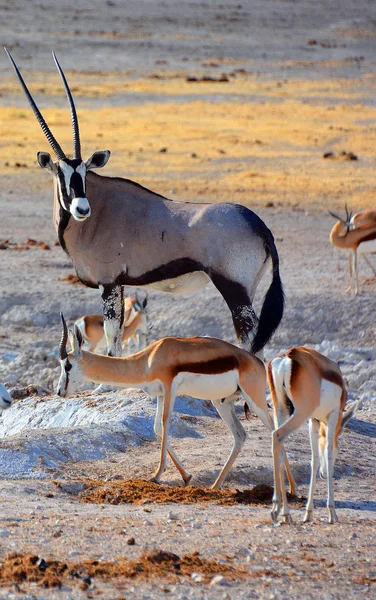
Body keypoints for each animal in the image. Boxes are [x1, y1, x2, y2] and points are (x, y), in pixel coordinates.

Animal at [5, 50, 284, 360]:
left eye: (84, 173)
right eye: (60, 173)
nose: (81, 209)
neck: (97, 211)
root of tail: (260, 227)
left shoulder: (109, 284)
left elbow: (112, 342)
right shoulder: (120, 286)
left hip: (234, 290)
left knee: (251, 340)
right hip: (249, 289)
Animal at [56, 314, 296, 492]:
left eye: (67, 365)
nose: (59, 392)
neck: (149, 359)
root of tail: (258, 362)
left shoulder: (169, 387)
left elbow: (165, 423)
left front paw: (156, 475)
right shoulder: (161, 394)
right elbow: (156, 427)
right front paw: (187, 476)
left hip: (254, 401)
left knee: (275, 430)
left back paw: (292, 490)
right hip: (221, 403)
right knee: (240, 435)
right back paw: (215, 486)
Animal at [268, 346, 356, 524]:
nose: (323, 475)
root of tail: (287, 356)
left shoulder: (313, 420)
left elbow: (314, 460)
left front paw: (308, 513)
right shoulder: (332, 416)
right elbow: (328, 454)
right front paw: (332, 512)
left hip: (281, 408)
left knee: (279, 446)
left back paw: (282, 511)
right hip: (300, 413)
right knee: (277, 436)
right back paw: (280, 510)